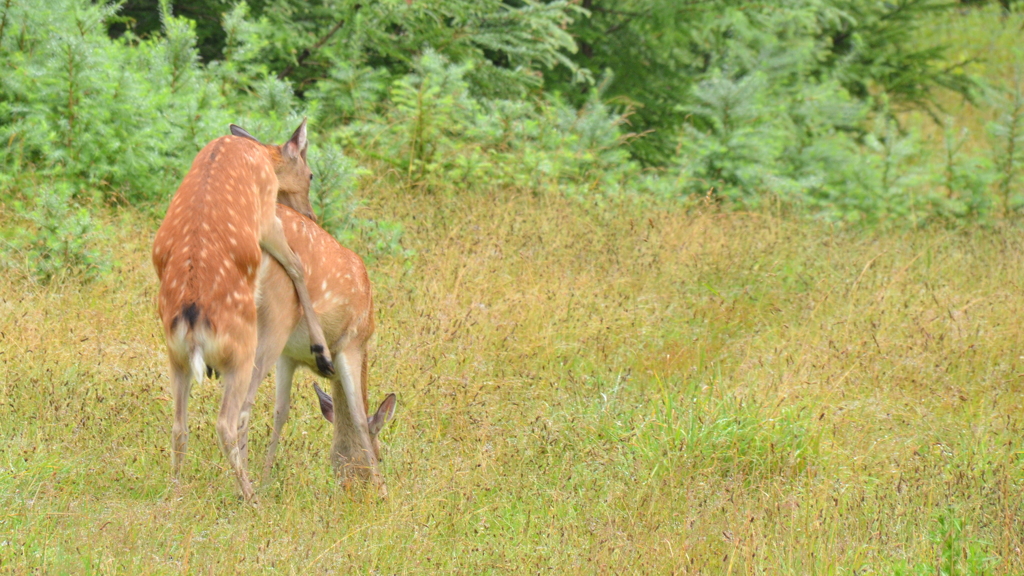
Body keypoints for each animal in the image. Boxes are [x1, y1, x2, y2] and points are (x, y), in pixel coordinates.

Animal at [151, 119, 335, 498]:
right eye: (311, 174)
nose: (311, 216)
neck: (260, 154)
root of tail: (192, 325)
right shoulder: (266, 215)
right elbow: (296, 266)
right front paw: (321, 353)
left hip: (175, 357)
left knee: (179, 425)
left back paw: (175, 490)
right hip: (241, 352)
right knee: (225, 421)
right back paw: (249, 494)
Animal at [243, 200, 395, 494]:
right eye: (381, 454)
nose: (348, 484)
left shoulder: (288, 356)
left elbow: (281, 410)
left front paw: (266, 479)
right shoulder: (352, 344)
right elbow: (359, 417)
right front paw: (382, 489)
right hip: (272, 322)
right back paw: (244, 490)